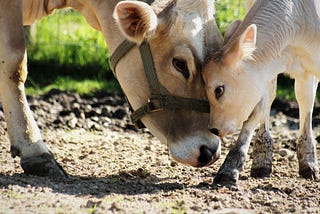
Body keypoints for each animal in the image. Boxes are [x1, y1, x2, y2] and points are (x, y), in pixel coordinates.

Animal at [204, 0, 318, 182]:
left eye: (219, 90)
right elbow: (259, 109)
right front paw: (230, 167)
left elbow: (305, 100)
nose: (214, 129)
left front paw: (308, 163)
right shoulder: (264, 74)